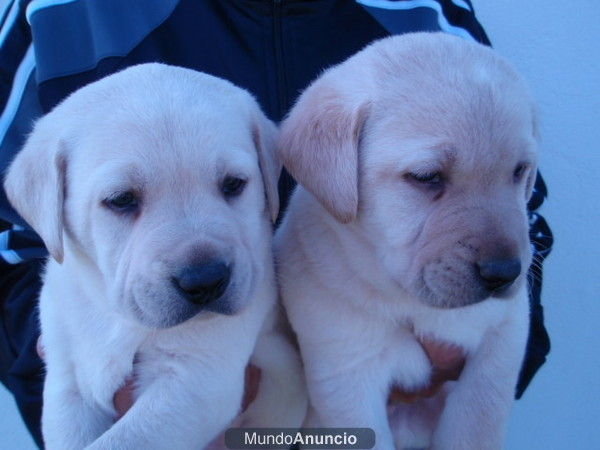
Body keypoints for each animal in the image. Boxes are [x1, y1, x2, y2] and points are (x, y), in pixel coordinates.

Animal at [3, 63, 304, 450]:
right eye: (121, 199)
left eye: (234, 184)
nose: (206, 281)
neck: (114, 313)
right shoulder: (67, 380)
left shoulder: (197, 380)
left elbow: (121, 442)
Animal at [276, 32, 540, 450]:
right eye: (427, 177)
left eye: (519, 171)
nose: (505, 273)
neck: (411, 301)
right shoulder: (345, 373)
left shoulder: (504, 335)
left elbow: (478, 422)